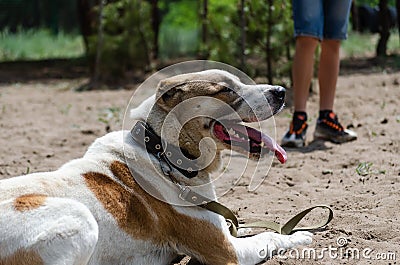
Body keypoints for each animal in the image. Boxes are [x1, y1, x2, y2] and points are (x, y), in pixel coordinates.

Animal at [0, 69, 312, 262]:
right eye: (224, 89)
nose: (281, 91)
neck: (162, 154)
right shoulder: (227, 252)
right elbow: (270, 237)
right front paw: (301, 236)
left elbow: (253, 228)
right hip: (79, 217)